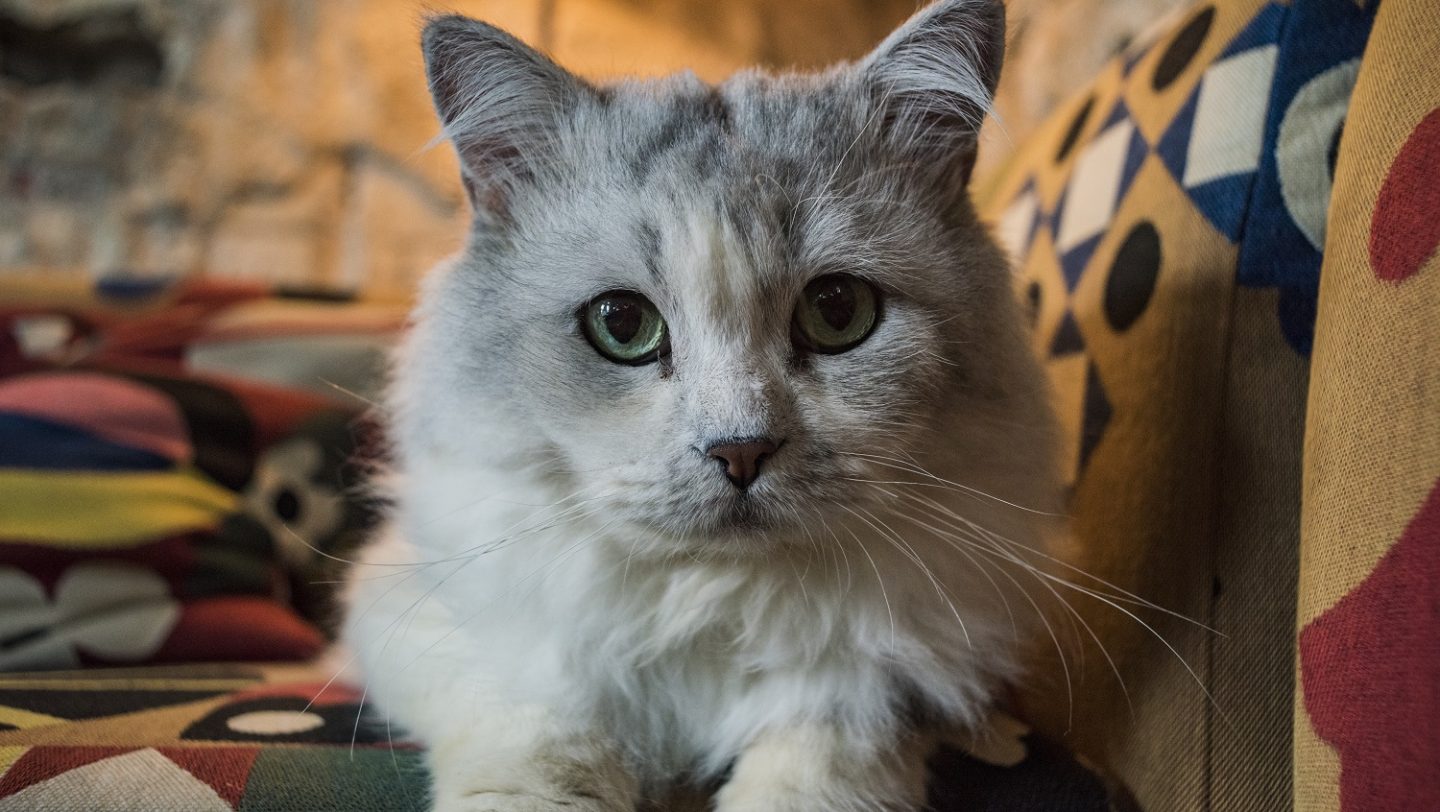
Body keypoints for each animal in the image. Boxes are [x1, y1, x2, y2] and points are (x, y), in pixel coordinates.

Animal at [336, 3, 1059, 806]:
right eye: (622, 324)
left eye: (838, 312)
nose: (740, 451)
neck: (716, 601)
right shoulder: (424, 612)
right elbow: (540, 732)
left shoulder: (884, 685)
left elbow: (818, 759)